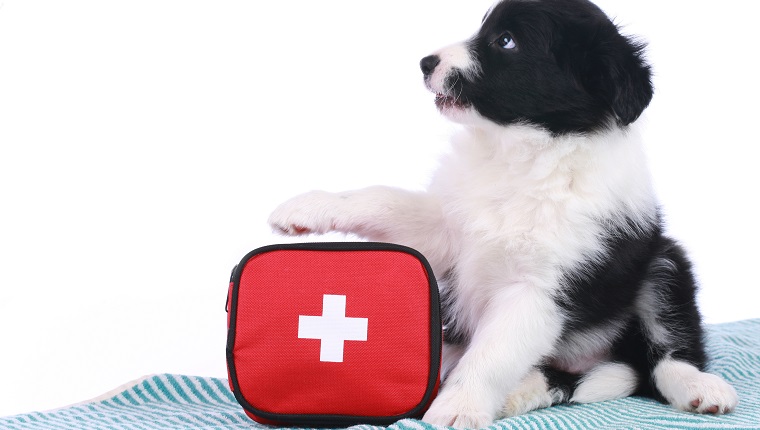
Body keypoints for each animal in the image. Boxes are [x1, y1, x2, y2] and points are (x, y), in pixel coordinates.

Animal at [268, 0, 736, 424]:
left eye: (505, 41)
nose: (425, 62)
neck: (519, 153)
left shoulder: (540, 289)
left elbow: (492, 354)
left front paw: (458, 407)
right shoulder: (446, 227)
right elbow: (381, 198)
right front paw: (310, 207)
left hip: (664, 263)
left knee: (667, 353)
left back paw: (699, 387)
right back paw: (519, 391)